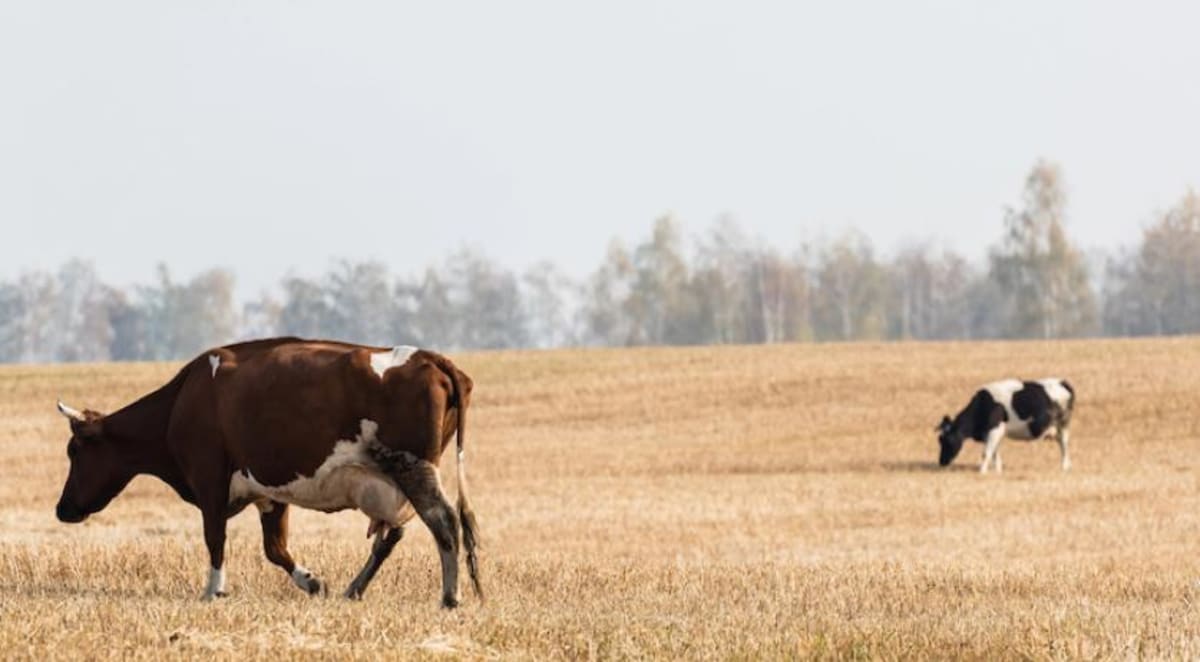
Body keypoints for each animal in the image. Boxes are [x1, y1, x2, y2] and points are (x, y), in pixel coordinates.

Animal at [53, 337, 481, 608]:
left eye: (74, 451)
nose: (62, 509)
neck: (182, 400)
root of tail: (431, 359)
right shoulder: (269, 493)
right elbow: (275, 549)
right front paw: (311, 581)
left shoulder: (210, 479)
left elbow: (215, 538)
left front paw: (214, 590)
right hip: (393, 480)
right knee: (392, 535)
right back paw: (354, 589)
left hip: (412, 468)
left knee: (443, 523)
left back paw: (449, 596)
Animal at [936, 378, 1075, 473]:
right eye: (939, 440)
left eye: (947, 440)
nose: (942, 462)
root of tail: (1061, 382)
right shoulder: (992, 433)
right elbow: (995, 453)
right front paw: (997, 471)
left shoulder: (995, 429)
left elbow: (987, 452)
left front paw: (982, 472)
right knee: (1062, 443)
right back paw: (1067, 466)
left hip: (1063, 423)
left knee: (1064, 444)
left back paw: (1064, 467)